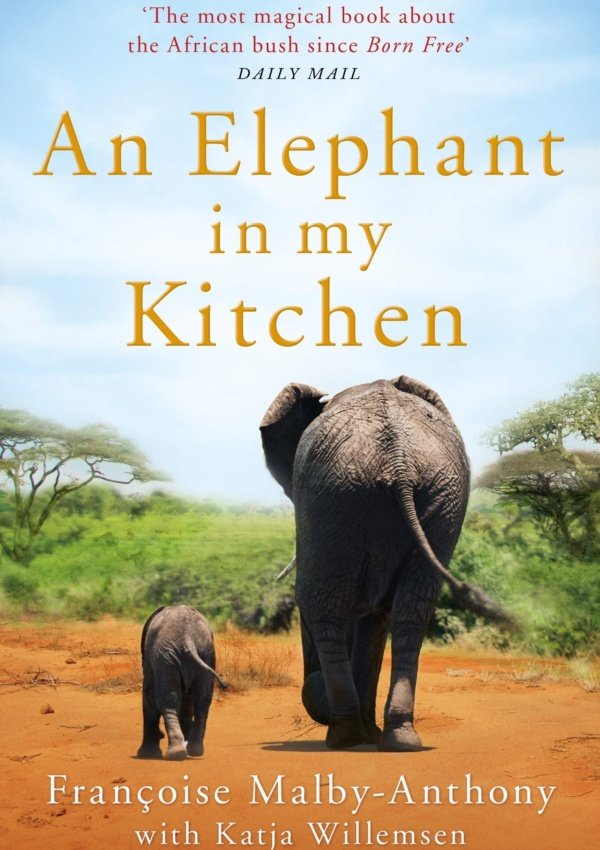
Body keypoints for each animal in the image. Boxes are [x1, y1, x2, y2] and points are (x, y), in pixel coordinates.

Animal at [137, 605, 226, 760]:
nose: (161, 734)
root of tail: (188, 637)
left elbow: (149, 697)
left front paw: (146, 754)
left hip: (167, 657)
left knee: (168, 700)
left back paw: (176, 754)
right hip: (206, 652)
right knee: (202, 702)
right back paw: (194, 751)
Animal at [260, 375, 512, 752]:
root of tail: (399, 462)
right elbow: (376, 616)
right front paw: (372, 734)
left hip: (337, 495)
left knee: (322, 603)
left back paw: (345, 736)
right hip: (436, 497)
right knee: (412, 611)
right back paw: (398, 738)